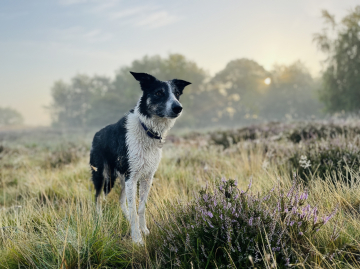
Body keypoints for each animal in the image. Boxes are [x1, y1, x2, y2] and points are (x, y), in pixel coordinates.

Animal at [90, 71, 191, 243]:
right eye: (159, 93)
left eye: (177, 93)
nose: (178, 108)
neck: (147, 129)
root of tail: (96, 134)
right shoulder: (132, 177)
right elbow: (134, 210)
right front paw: (137, 240)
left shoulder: (146, 177)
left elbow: (140, 208)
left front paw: (144, 231)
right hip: (104, 177)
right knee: (98, 198)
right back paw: (99, 220)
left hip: (122, 179)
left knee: (121, 201)